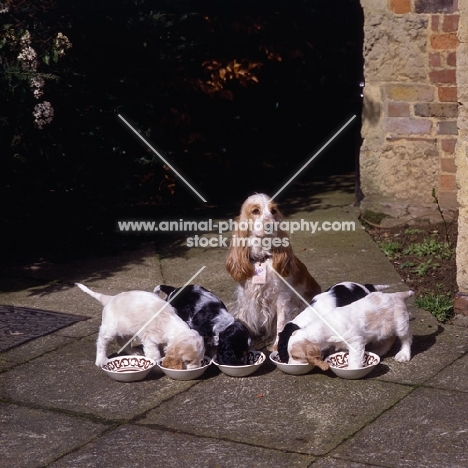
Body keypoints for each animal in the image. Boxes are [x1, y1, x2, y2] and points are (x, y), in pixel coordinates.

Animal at [76, 282, 205, 370]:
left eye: (201, 359)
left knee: (122, 341)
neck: (172, 326)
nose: (197, 368)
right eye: (188, 361)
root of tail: (111, 299)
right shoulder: (150, 340)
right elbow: (154, 354)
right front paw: (156, 365)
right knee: (101, 342)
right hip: (110, 328)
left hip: (128, 328)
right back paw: (101, 360)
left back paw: (133, 352)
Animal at [226, 192, 322, 350]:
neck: (262, 258)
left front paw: (277, 346)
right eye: (255, 211)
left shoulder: (282, 297)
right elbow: (243, 319)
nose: (271, 225)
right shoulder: (245, 297)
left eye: (273, 211)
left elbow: (281, 324)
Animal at [286, 288, 414, 370]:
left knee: (406, 339)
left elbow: (354, 359)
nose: (289, 364)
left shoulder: (355, 341)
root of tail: (396, 295)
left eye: (296, 357)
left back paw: (404, 355)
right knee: (389, 339)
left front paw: (352, 368)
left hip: (401, 324)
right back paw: (379, 350)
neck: (325, 326)